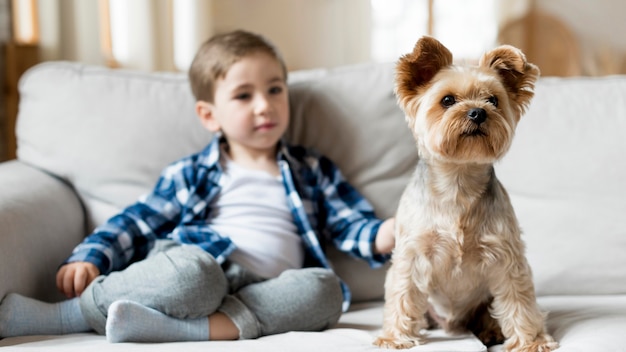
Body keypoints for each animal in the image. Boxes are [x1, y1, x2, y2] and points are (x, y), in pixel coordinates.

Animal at [370, 36, 556, 352]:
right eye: (447, 100)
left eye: (493, 100)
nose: (478, 112)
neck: (458, 181)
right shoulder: (412, 255)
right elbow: (402, 293)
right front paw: (394, 337)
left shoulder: (506, 256)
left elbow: (519, 300)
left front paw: (531, 340)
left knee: (489, 312)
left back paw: (491, 330)